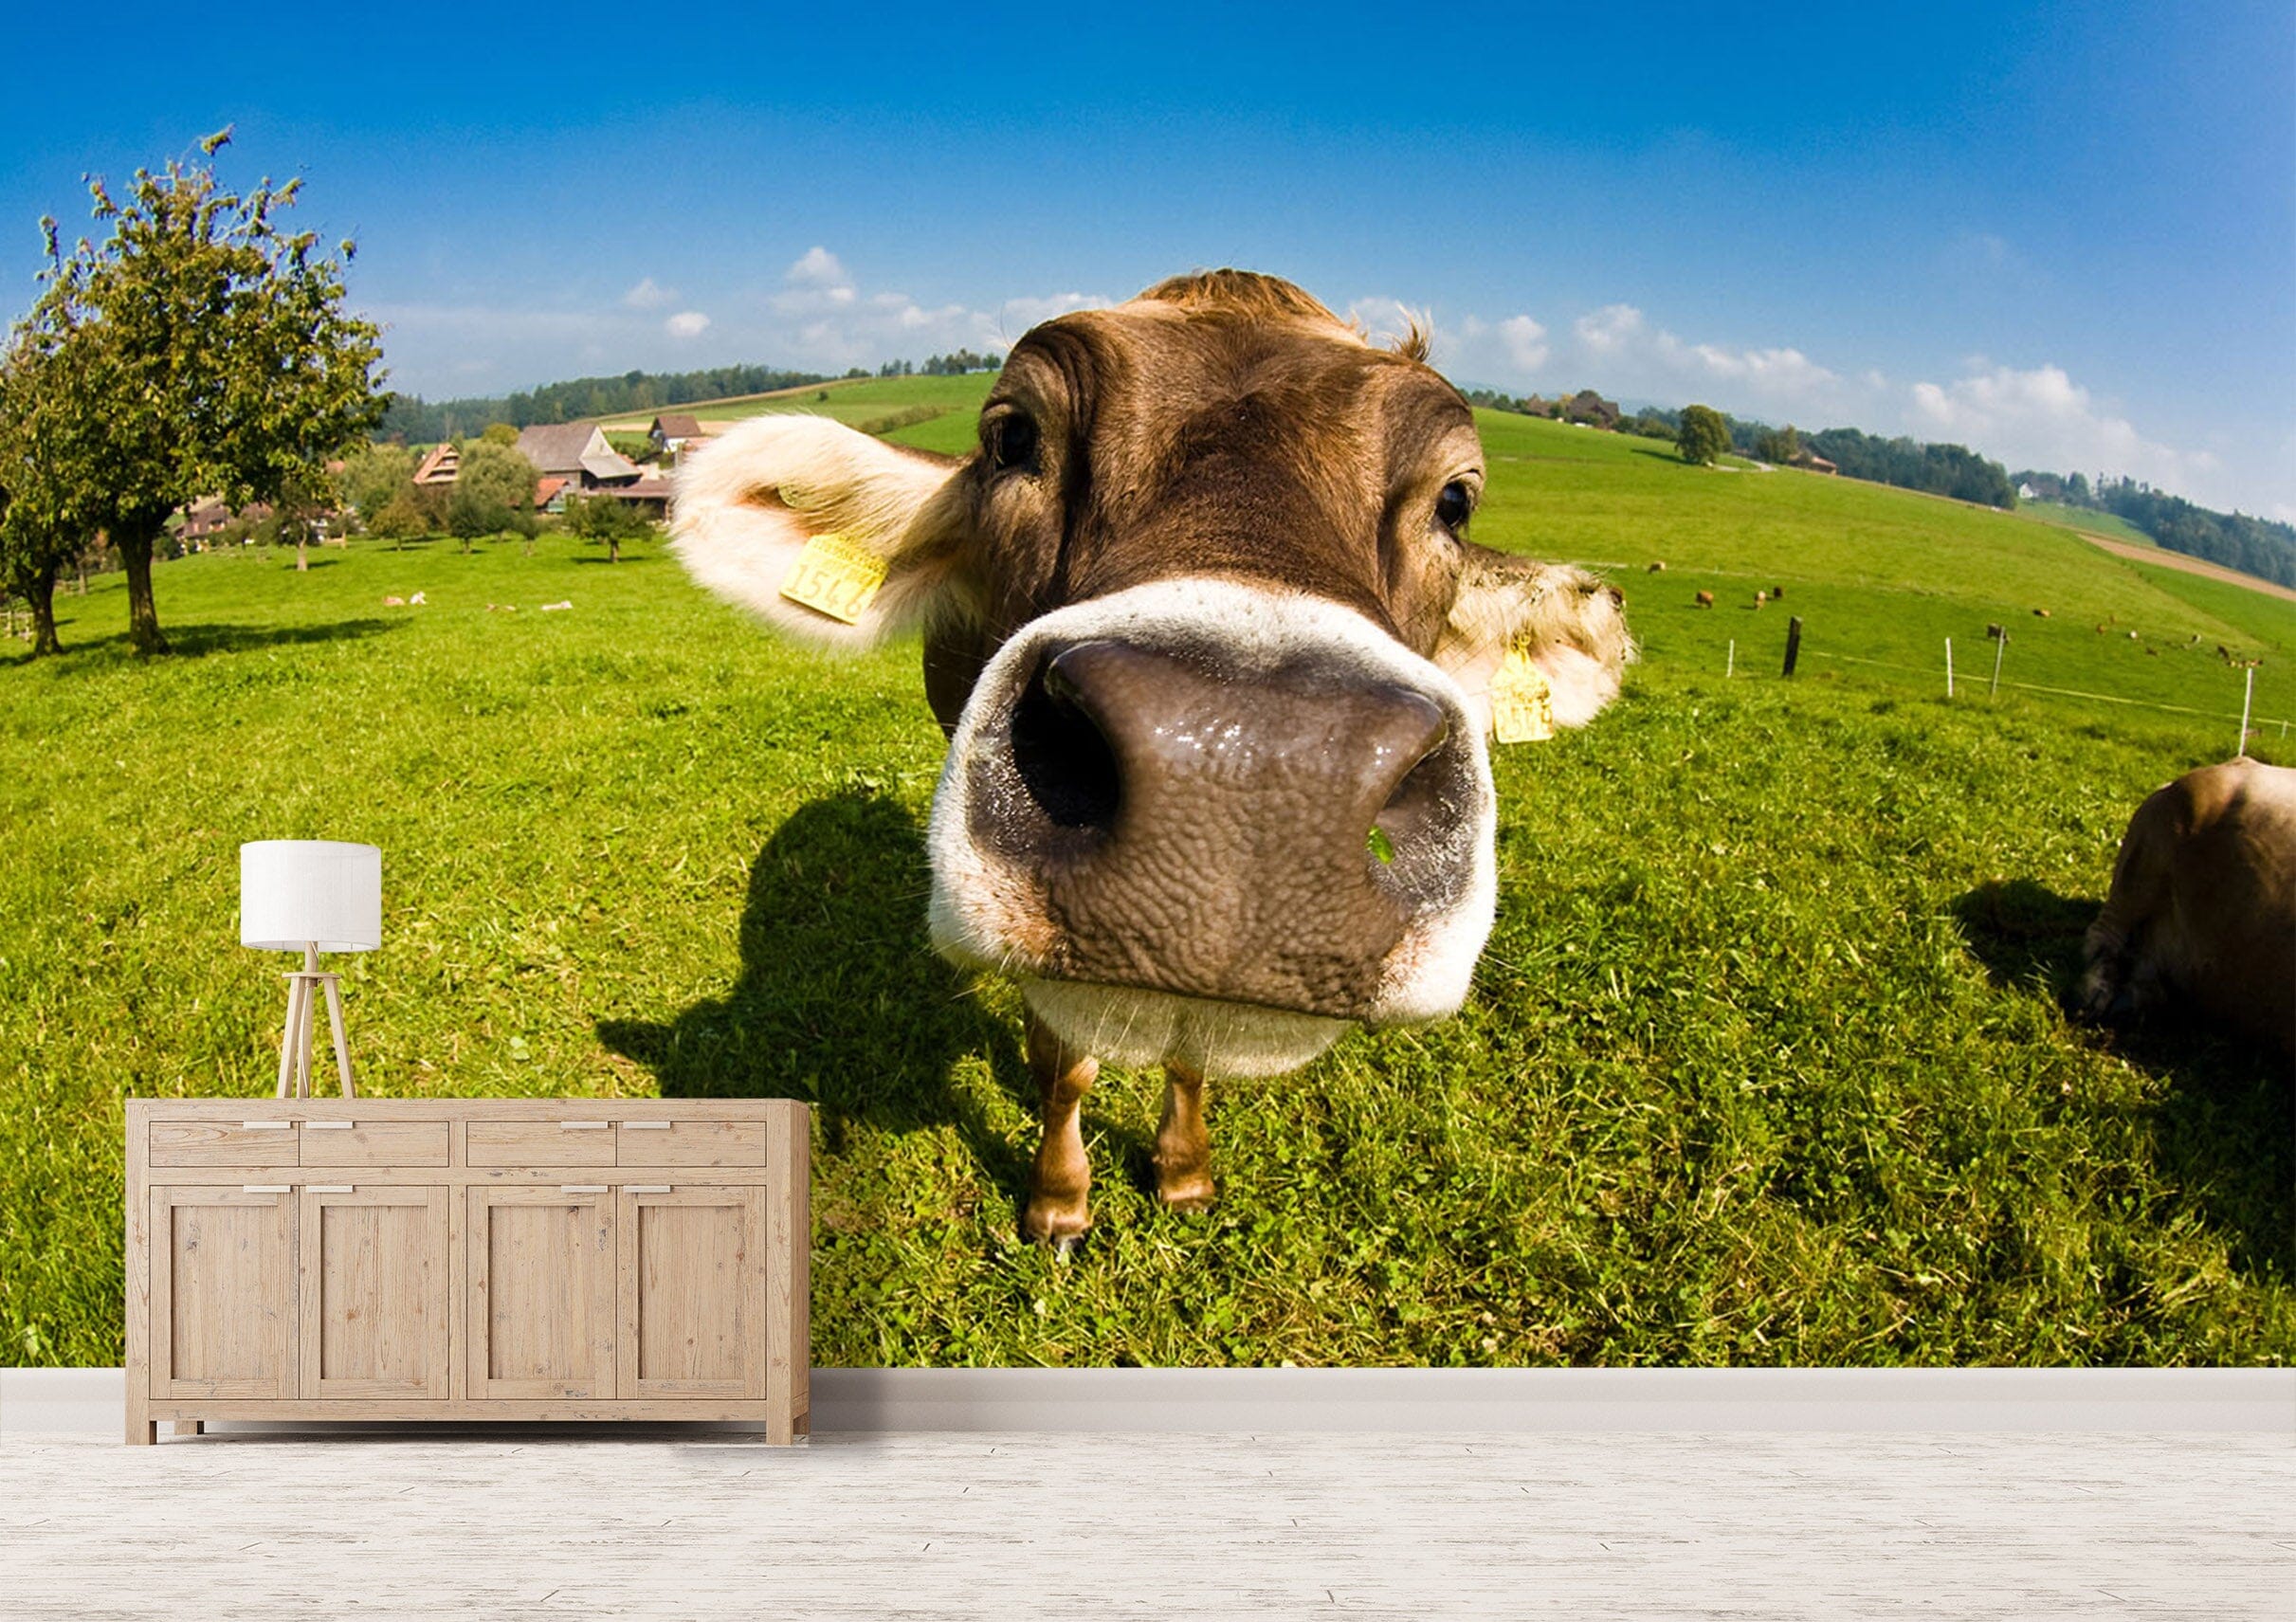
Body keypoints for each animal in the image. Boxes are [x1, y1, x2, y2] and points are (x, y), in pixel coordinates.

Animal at [670, 270, 1632, 1241]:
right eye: (1012, 435)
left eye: (1455, 500)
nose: (1252, 766)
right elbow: (1063, 1063)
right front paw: (1059, 1198)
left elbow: (1190, 1055)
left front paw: (1183, 1172)